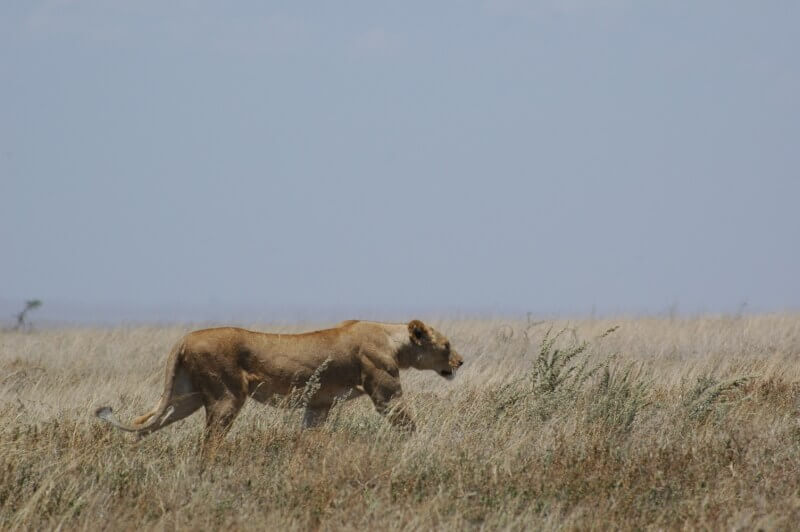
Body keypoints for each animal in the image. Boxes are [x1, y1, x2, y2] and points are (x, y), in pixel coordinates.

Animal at [95, 319, 463, 458]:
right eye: (446, 345)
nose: (460, 362)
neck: (393, 339)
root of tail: (184, 339)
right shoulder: (386, 394)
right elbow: (407, 423)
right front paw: (425, 447)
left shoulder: (318, 404)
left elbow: (310, 434)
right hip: (227, 397)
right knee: (208, 442)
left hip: (186, 398)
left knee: (146, 423)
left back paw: (132, 456)